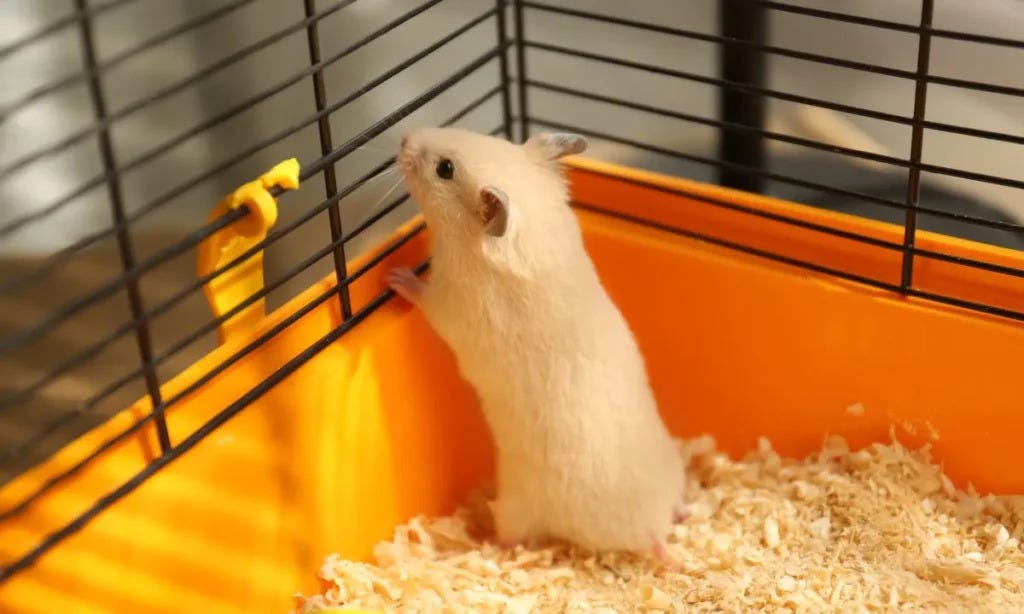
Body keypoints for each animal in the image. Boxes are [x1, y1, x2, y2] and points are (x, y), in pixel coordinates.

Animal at [387, 127, 686, 558]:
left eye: (445, 169)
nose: (404, 137)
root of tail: (653, 528)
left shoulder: (449, 303)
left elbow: (422, 295)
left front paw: (394, 276)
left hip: (519, 504)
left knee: (510, 534)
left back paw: (482, 539)